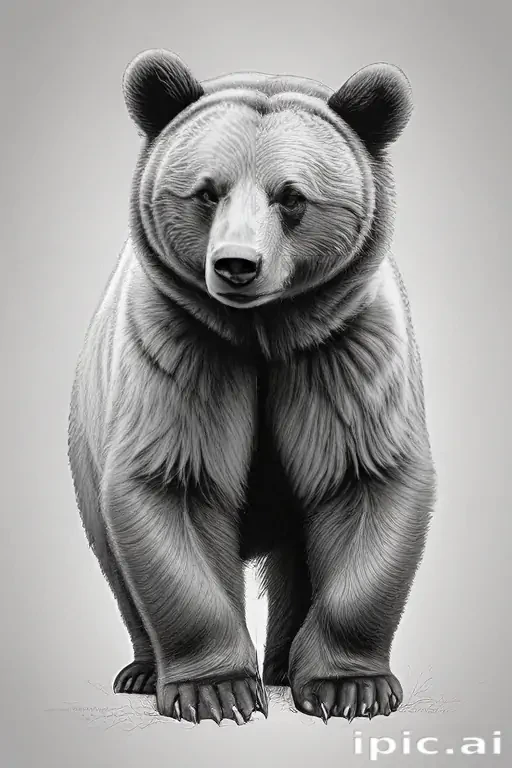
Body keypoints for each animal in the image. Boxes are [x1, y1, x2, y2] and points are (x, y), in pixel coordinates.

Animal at [68, 48, 436, 726]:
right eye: (206, 191)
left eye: (291, 196)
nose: (236, 264)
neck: (264, 332)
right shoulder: (183, 350)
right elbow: (173, 483)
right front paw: (217, 692)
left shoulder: (345, 353)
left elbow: (365, 478)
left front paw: (351, 688)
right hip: (89, 442)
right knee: (114, 557)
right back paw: (143, 670)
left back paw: (286, 666)